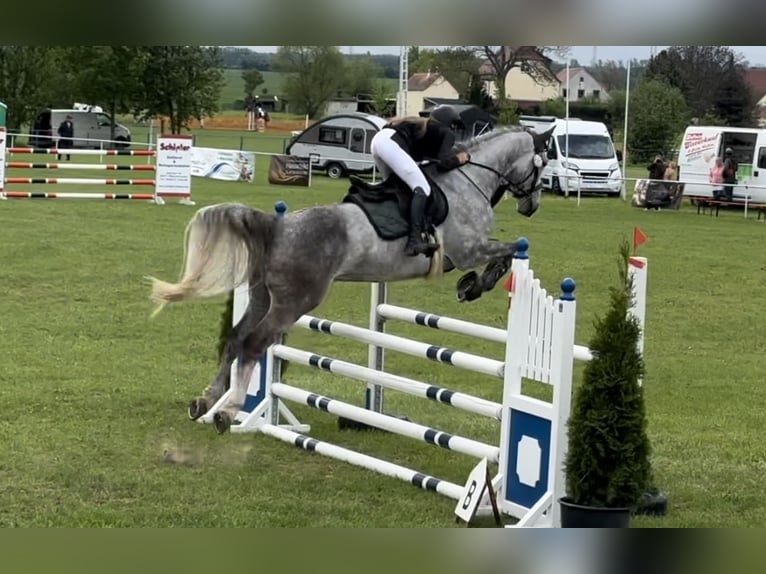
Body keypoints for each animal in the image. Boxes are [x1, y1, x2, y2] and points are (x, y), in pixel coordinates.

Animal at [148, 125, 554, 433]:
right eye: (544, 164)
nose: (532, 206)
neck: (470, 180)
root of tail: (277, 228)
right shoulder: (469, 250)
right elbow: (507, 252)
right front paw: (473, 286)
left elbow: (505, 252)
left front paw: (471, 285)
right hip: (294, 302)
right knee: (253, 344)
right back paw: (228, 410)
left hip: (263, 297)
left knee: (235, 339)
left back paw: (205, 401)